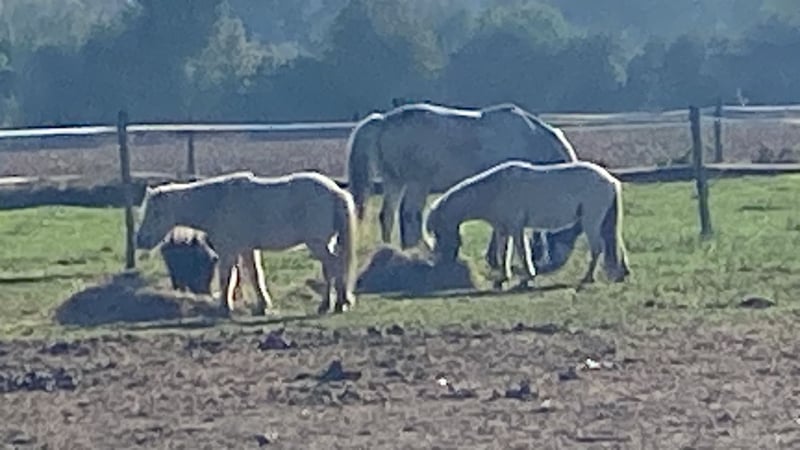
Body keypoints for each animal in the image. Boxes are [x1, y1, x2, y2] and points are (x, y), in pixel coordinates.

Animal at [135, 171, 358, 315]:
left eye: (155, 212)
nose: (140, 240)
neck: (217, 202)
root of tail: (335, 192)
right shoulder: (247, 250)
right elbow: (254, 276)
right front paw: (262, 306)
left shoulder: (229, 251)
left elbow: (227, 278)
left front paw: (225, 307)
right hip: (324, 244)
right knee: (331, 268)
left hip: (318, 244)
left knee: (333, 266)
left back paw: (333, 304)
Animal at [345, 101, 579, 262]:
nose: (552, 261)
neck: (529, 138)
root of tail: (384, 120)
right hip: (416, 184)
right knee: (410, 214)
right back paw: (423, 250)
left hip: (396, 182)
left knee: (387, 215)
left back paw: (389, 250)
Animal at [424, 160, 631, 289]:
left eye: (438, 233)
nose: (442, 261)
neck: (496, 190)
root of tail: (610, 180)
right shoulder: (503, 229)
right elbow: (503, 254)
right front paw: (502, 279)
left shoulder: (516, 228)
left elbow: (522, 253)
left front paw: (526, 278)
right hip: (603, 223)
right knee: (613, 244)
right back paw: (620, 274)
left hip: (591, 222)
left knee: (597, 249)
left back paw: (588, 278)